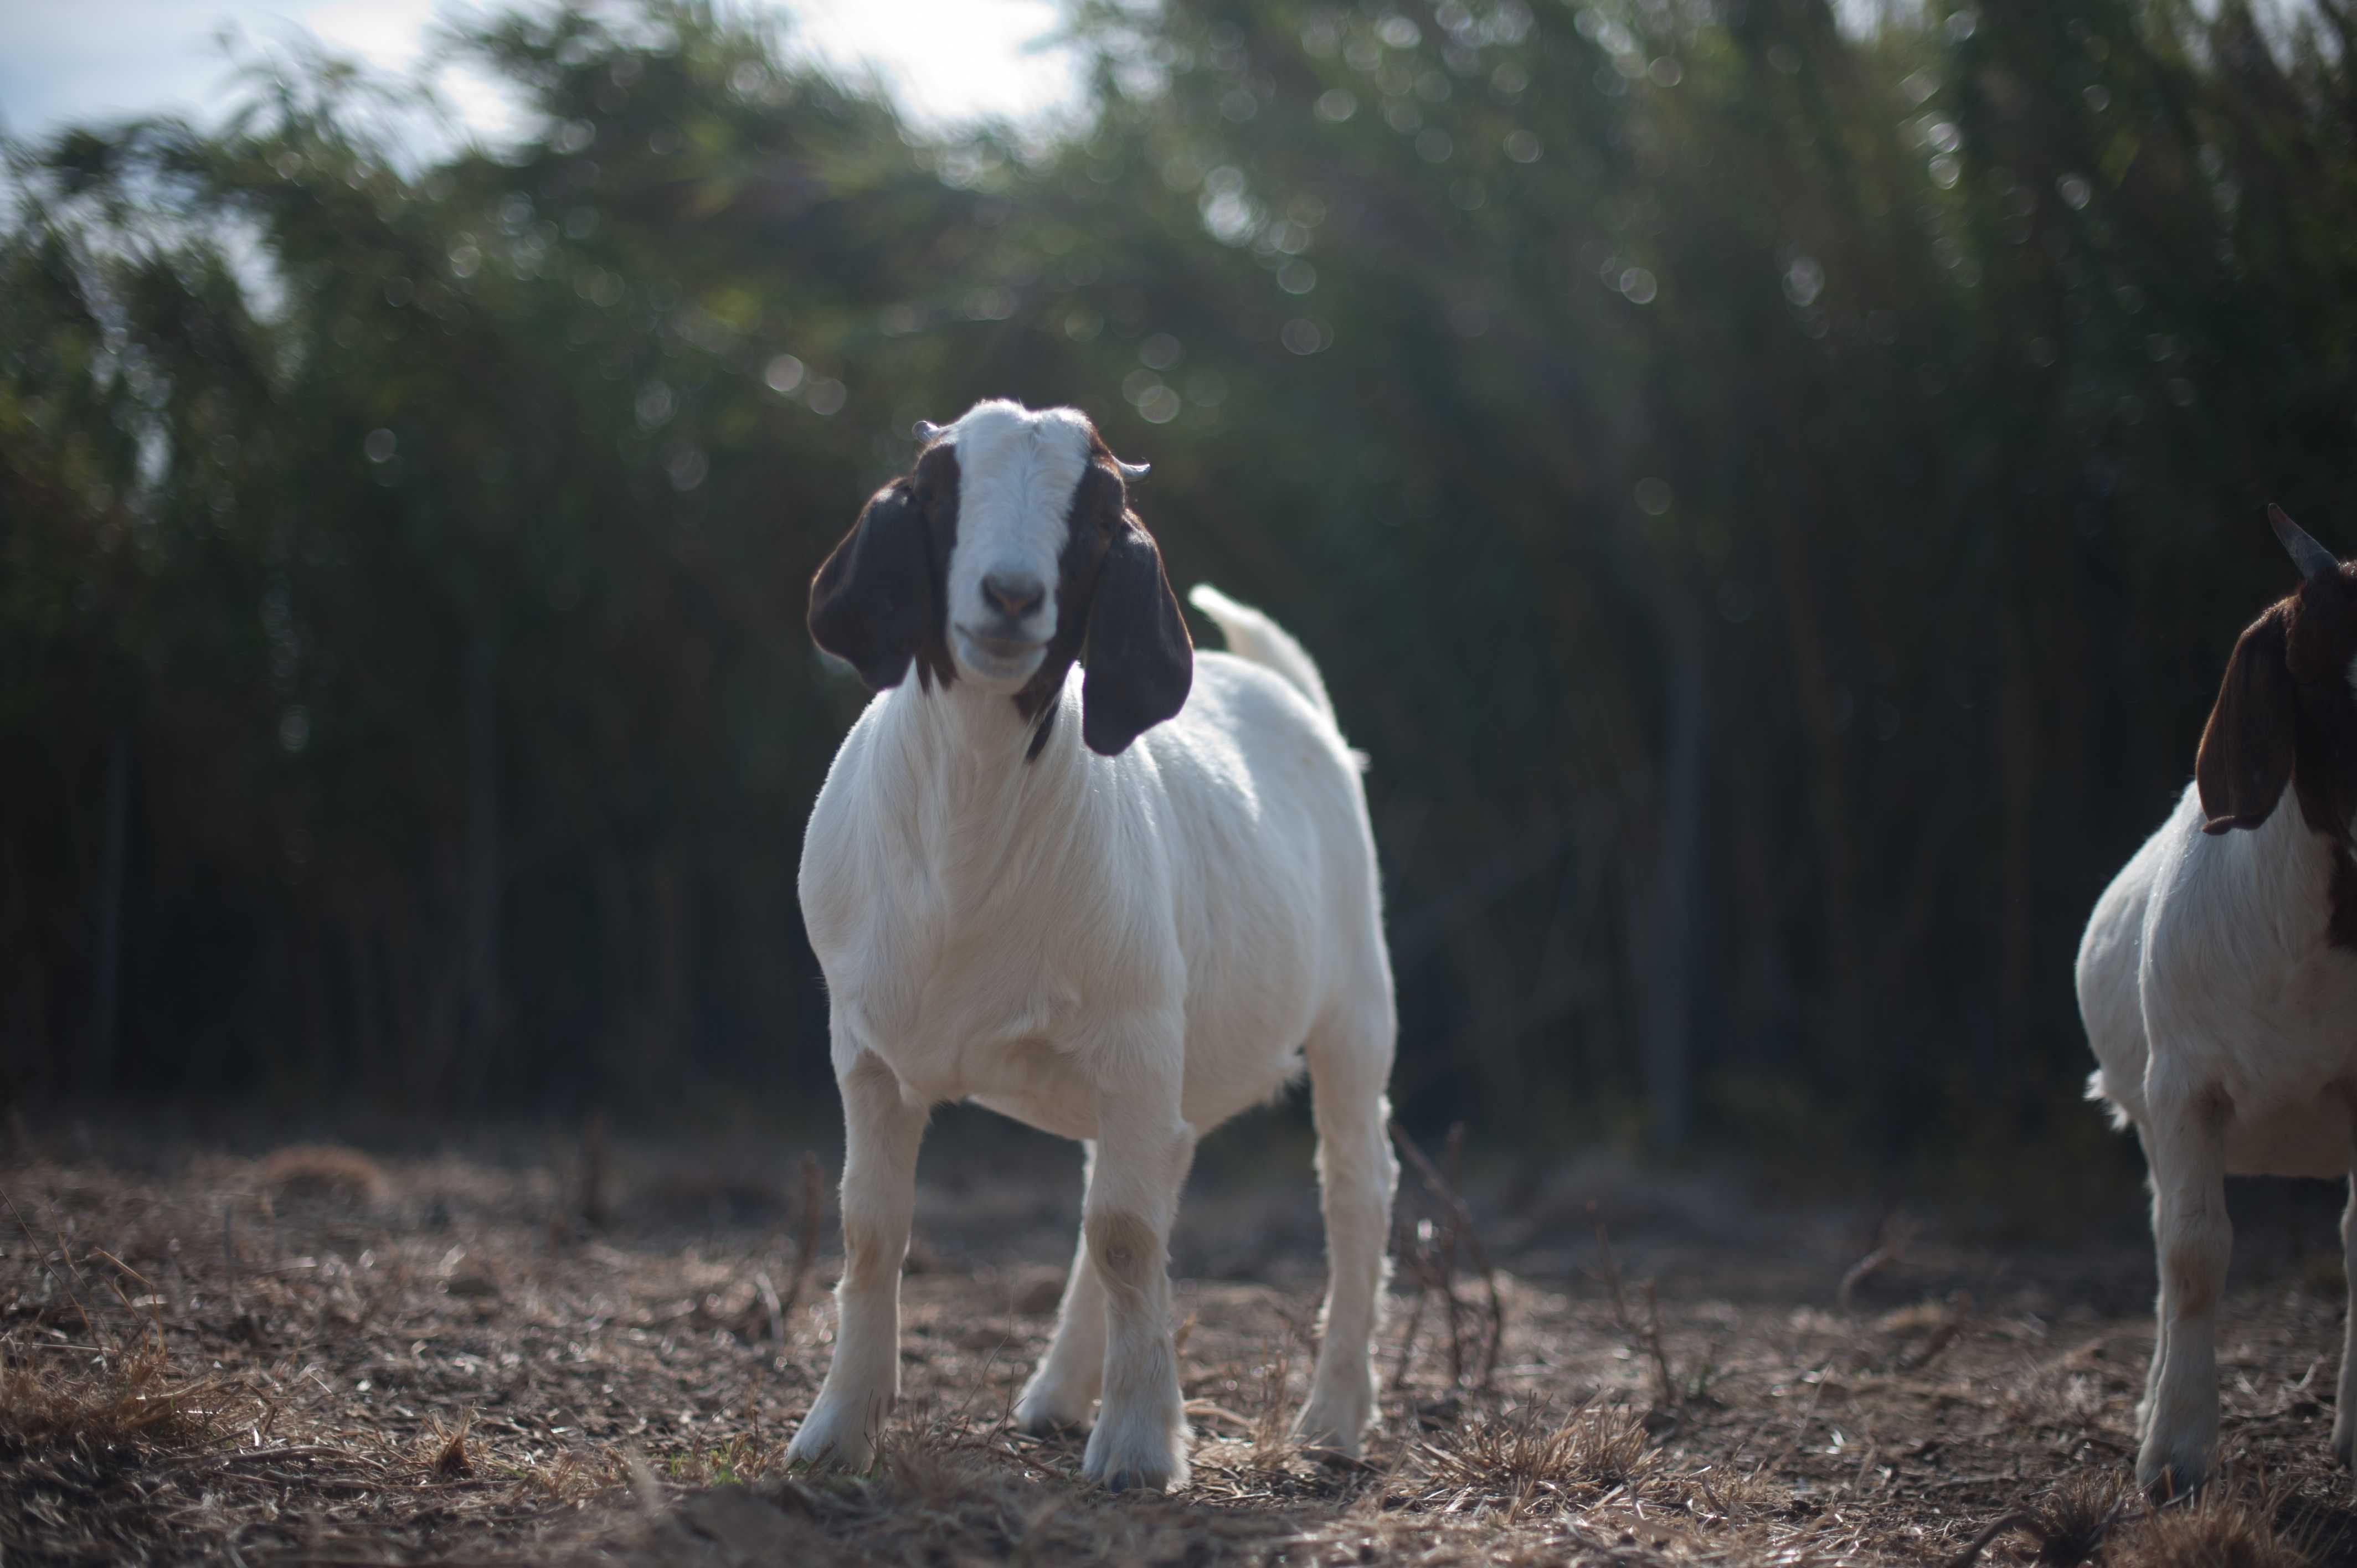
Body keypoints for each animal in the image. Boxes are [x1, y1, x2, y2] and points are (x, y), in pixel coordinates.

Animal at [782, 398, 1395, 1490]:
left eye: (1101, 516)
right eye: (939, 488)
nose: (1012, 595)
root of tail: (1283, 688)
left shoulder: (1137, 1038)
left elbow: (1124, 1236)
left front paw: (1142, 1446)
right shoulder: (867, 1049)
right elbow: (870, 1229)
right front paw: (836, 1432)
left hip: (1351, 1004)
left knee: (1354, 1191)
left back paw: (1332, 1419)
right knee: (1141, 1178)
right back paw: (1059, 1395)